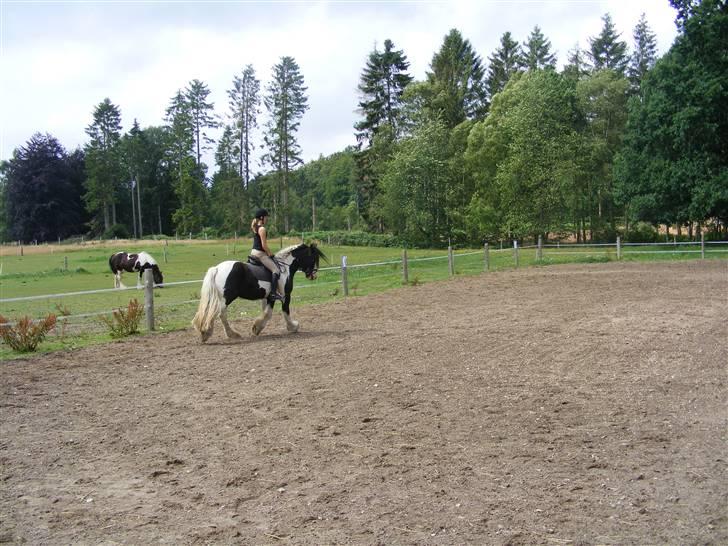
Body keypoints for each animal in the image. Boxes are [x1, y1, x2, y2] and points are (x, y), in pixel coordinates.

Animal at [191, 241, 324, 340]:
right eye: (313, 258)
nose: (313, 275)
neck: (285, 267)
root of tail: (217, 268)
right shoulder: (285, 295)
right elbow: (283, 311)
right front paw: (293, 327)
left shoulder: (268, 297)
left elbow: (266, 312)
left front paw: (257, 328)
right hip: (227, 298)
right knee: (220, 313)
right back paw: (222, 334)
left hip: (216, 297)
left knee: (208, 311)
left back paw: (207, 332)